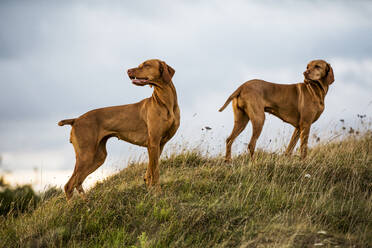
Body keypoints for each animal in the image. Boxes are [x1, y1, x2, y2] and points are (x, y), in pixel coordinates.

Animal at [58, 59, 180, 200]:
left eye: (146, 65)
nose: (128, 70)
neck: (166, 102)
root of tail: (75, 120)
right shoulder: (154, 143)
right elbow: (155, 172)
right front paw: (157, 194)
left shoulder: (159, 144)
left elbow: (150, 171)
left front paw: (150, 190)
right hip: (86, 155)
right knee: (69, 185)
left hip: (98, 157)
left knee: (78, 182)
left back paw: (85, 202)